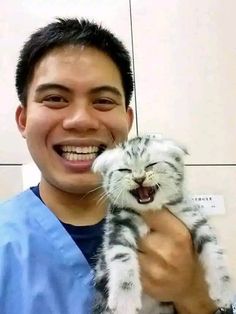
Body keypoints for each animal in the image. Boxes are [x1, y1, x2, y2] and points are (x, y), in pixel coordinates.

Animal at [91, 135, 232, 314]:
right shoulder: (118, 223)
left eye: (150, 165)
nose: (139, 179)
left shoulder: (191, 214)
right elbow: (121, 256)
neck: (150, 209)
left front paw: (224, 290)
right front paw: (125, 299)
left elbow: (214, 249)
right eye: (125, 170)